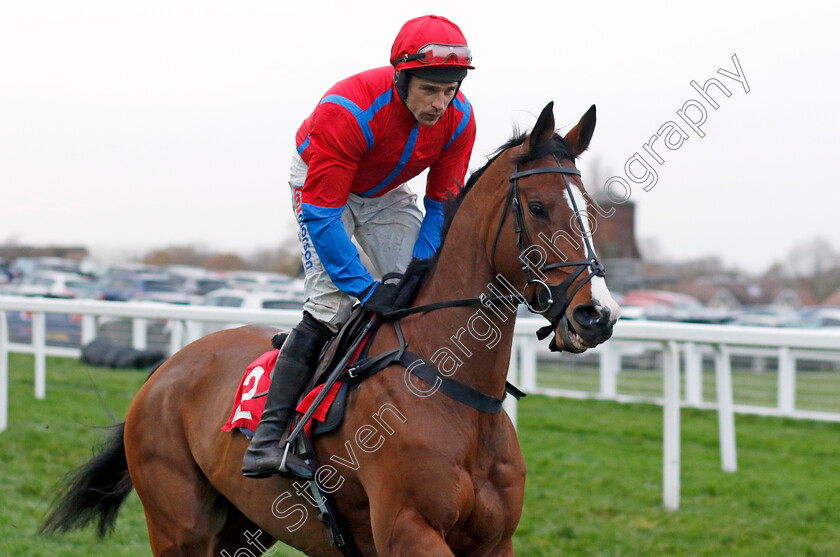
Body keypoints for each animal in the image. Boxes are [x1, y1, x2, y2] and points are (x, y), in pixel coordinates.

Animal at [42, 102, 620, 552]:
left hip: (241, 524)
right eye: (539, 208)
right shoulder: (409, 529)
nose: (597, 315)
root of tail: (166, 369)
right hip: (178, 524)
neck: (452, 386)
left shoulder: (495, 541)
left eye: (592, 213)